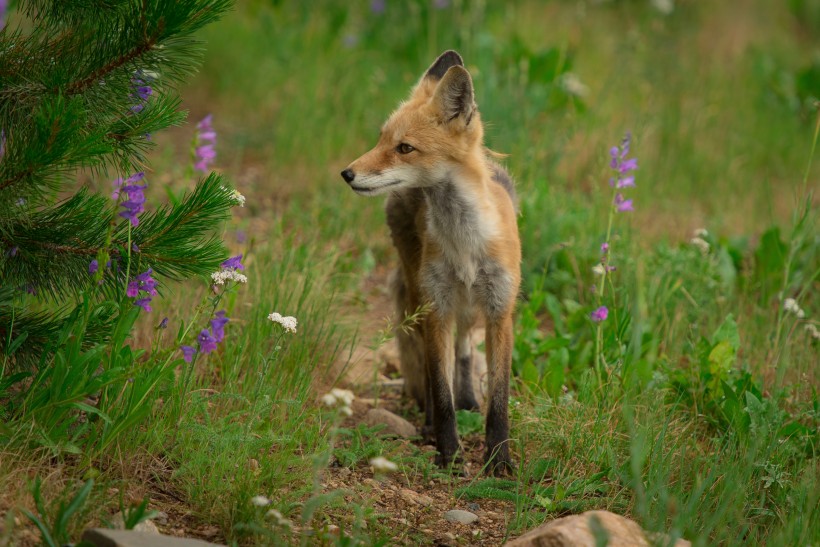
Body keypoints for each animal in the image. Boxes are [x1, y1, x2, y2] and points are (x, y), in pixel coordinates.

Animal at [342, 49, 524, 474]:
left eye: (404, 148)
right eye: (381, 139)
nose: (347, 173)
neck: (465, 243)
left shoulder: (499, 309)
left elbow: (499, 398)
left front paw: (499, 459)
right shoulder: (437, 306)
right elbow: (441, 394)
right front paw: (449, 453)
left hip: (467, 304)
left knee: (464, 346)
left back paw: (469, 398)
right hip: (418, 294)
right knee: (429, 366)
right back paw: (428, 422)